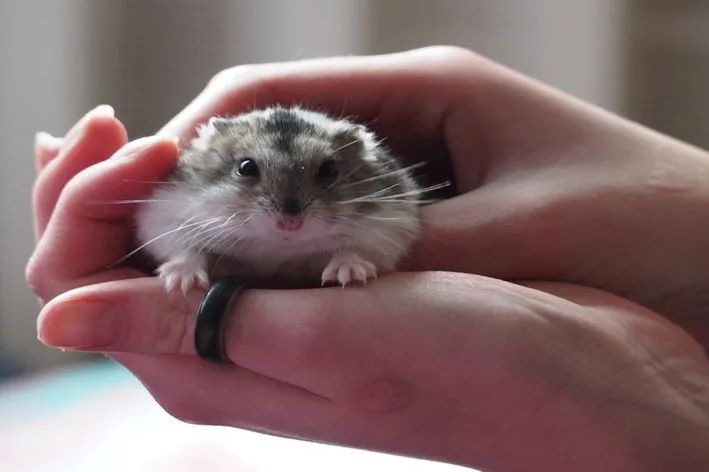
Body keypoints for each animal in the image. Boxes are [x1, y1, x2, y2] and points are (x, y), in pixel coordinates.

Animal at [134, 106, 433, 294]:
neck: (277, 248)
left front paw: (347, 275)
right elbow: (185, 248)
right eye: (245, 167)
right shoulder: (166, 217)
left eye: (329, 171)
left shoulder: (390, 226)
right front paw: (182, 283)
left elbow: (355, 248)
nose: (290, 224)